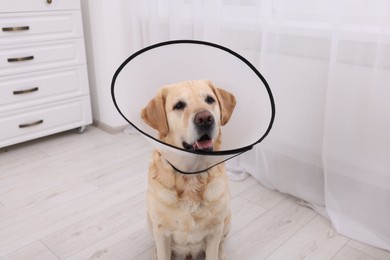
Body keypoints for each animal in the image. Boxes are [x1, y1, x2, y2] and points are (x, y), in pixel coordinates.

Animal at [142, 79, 236, 260]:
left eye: (210, 99)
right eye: (179, 105)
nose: (205, 118)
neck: (192, 176)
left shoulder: (215, 231)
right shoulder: (161, 233)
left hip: (227, 221)